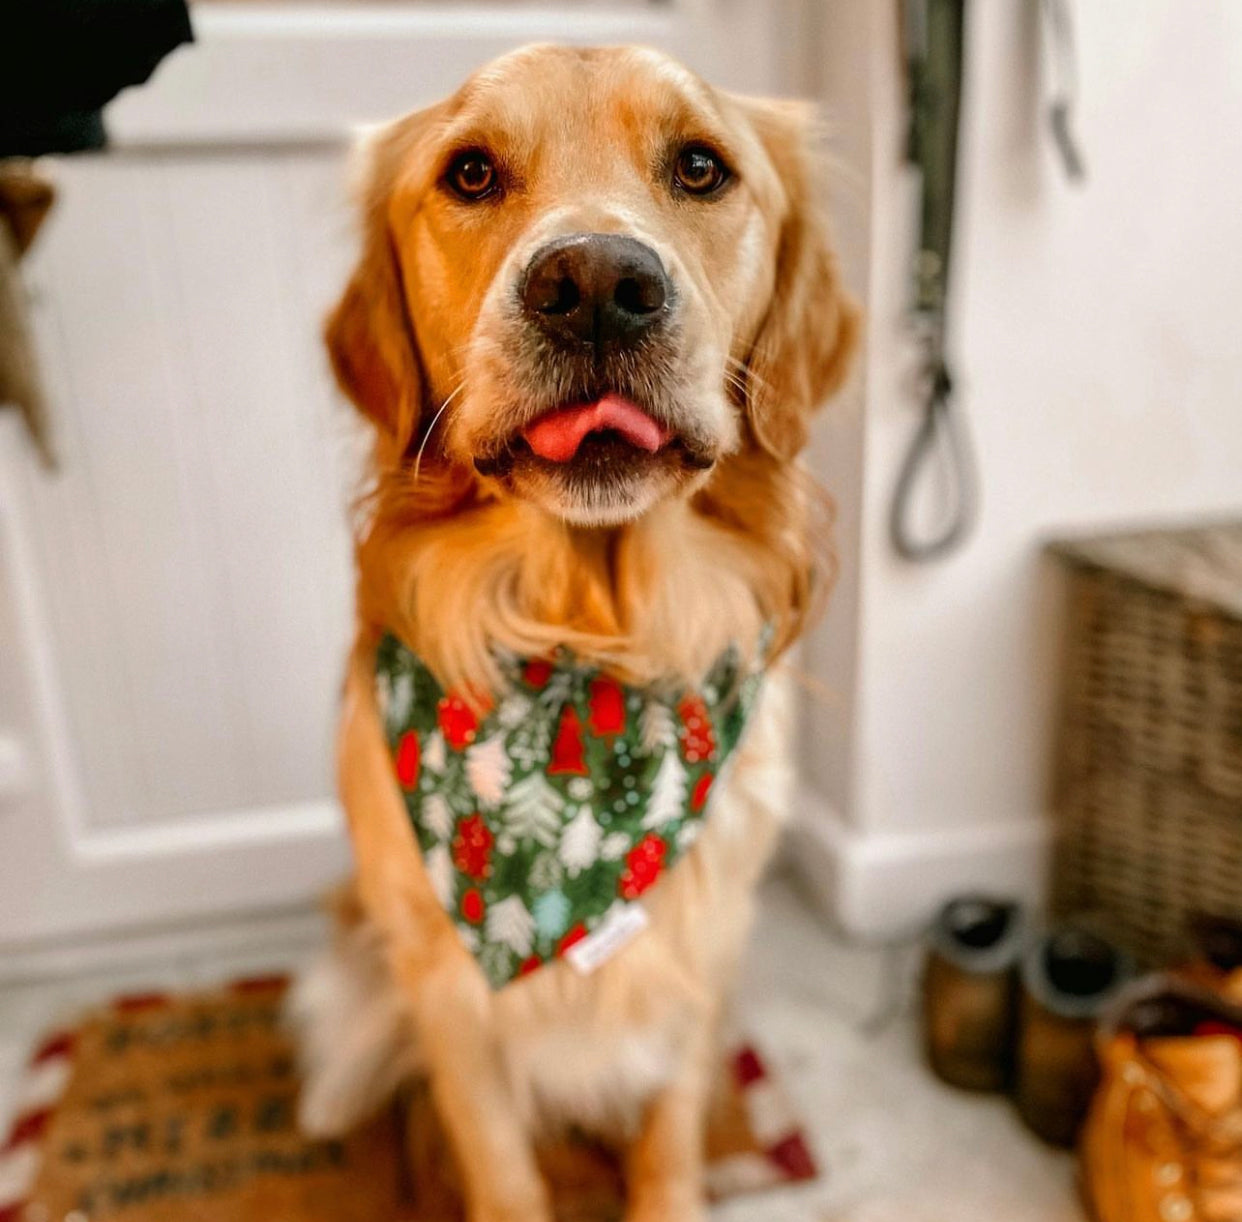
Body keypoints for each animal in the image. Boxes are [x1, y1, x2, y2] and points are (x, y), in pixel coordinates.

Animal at [290, 40, 854, 1222]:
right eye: (469, 173)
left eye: (700, 167)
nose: (595, 286)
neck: (589, 660)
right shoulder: (449, 998)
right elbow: (499, 1165)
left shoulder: (695, 966)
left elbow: (669, 1139)